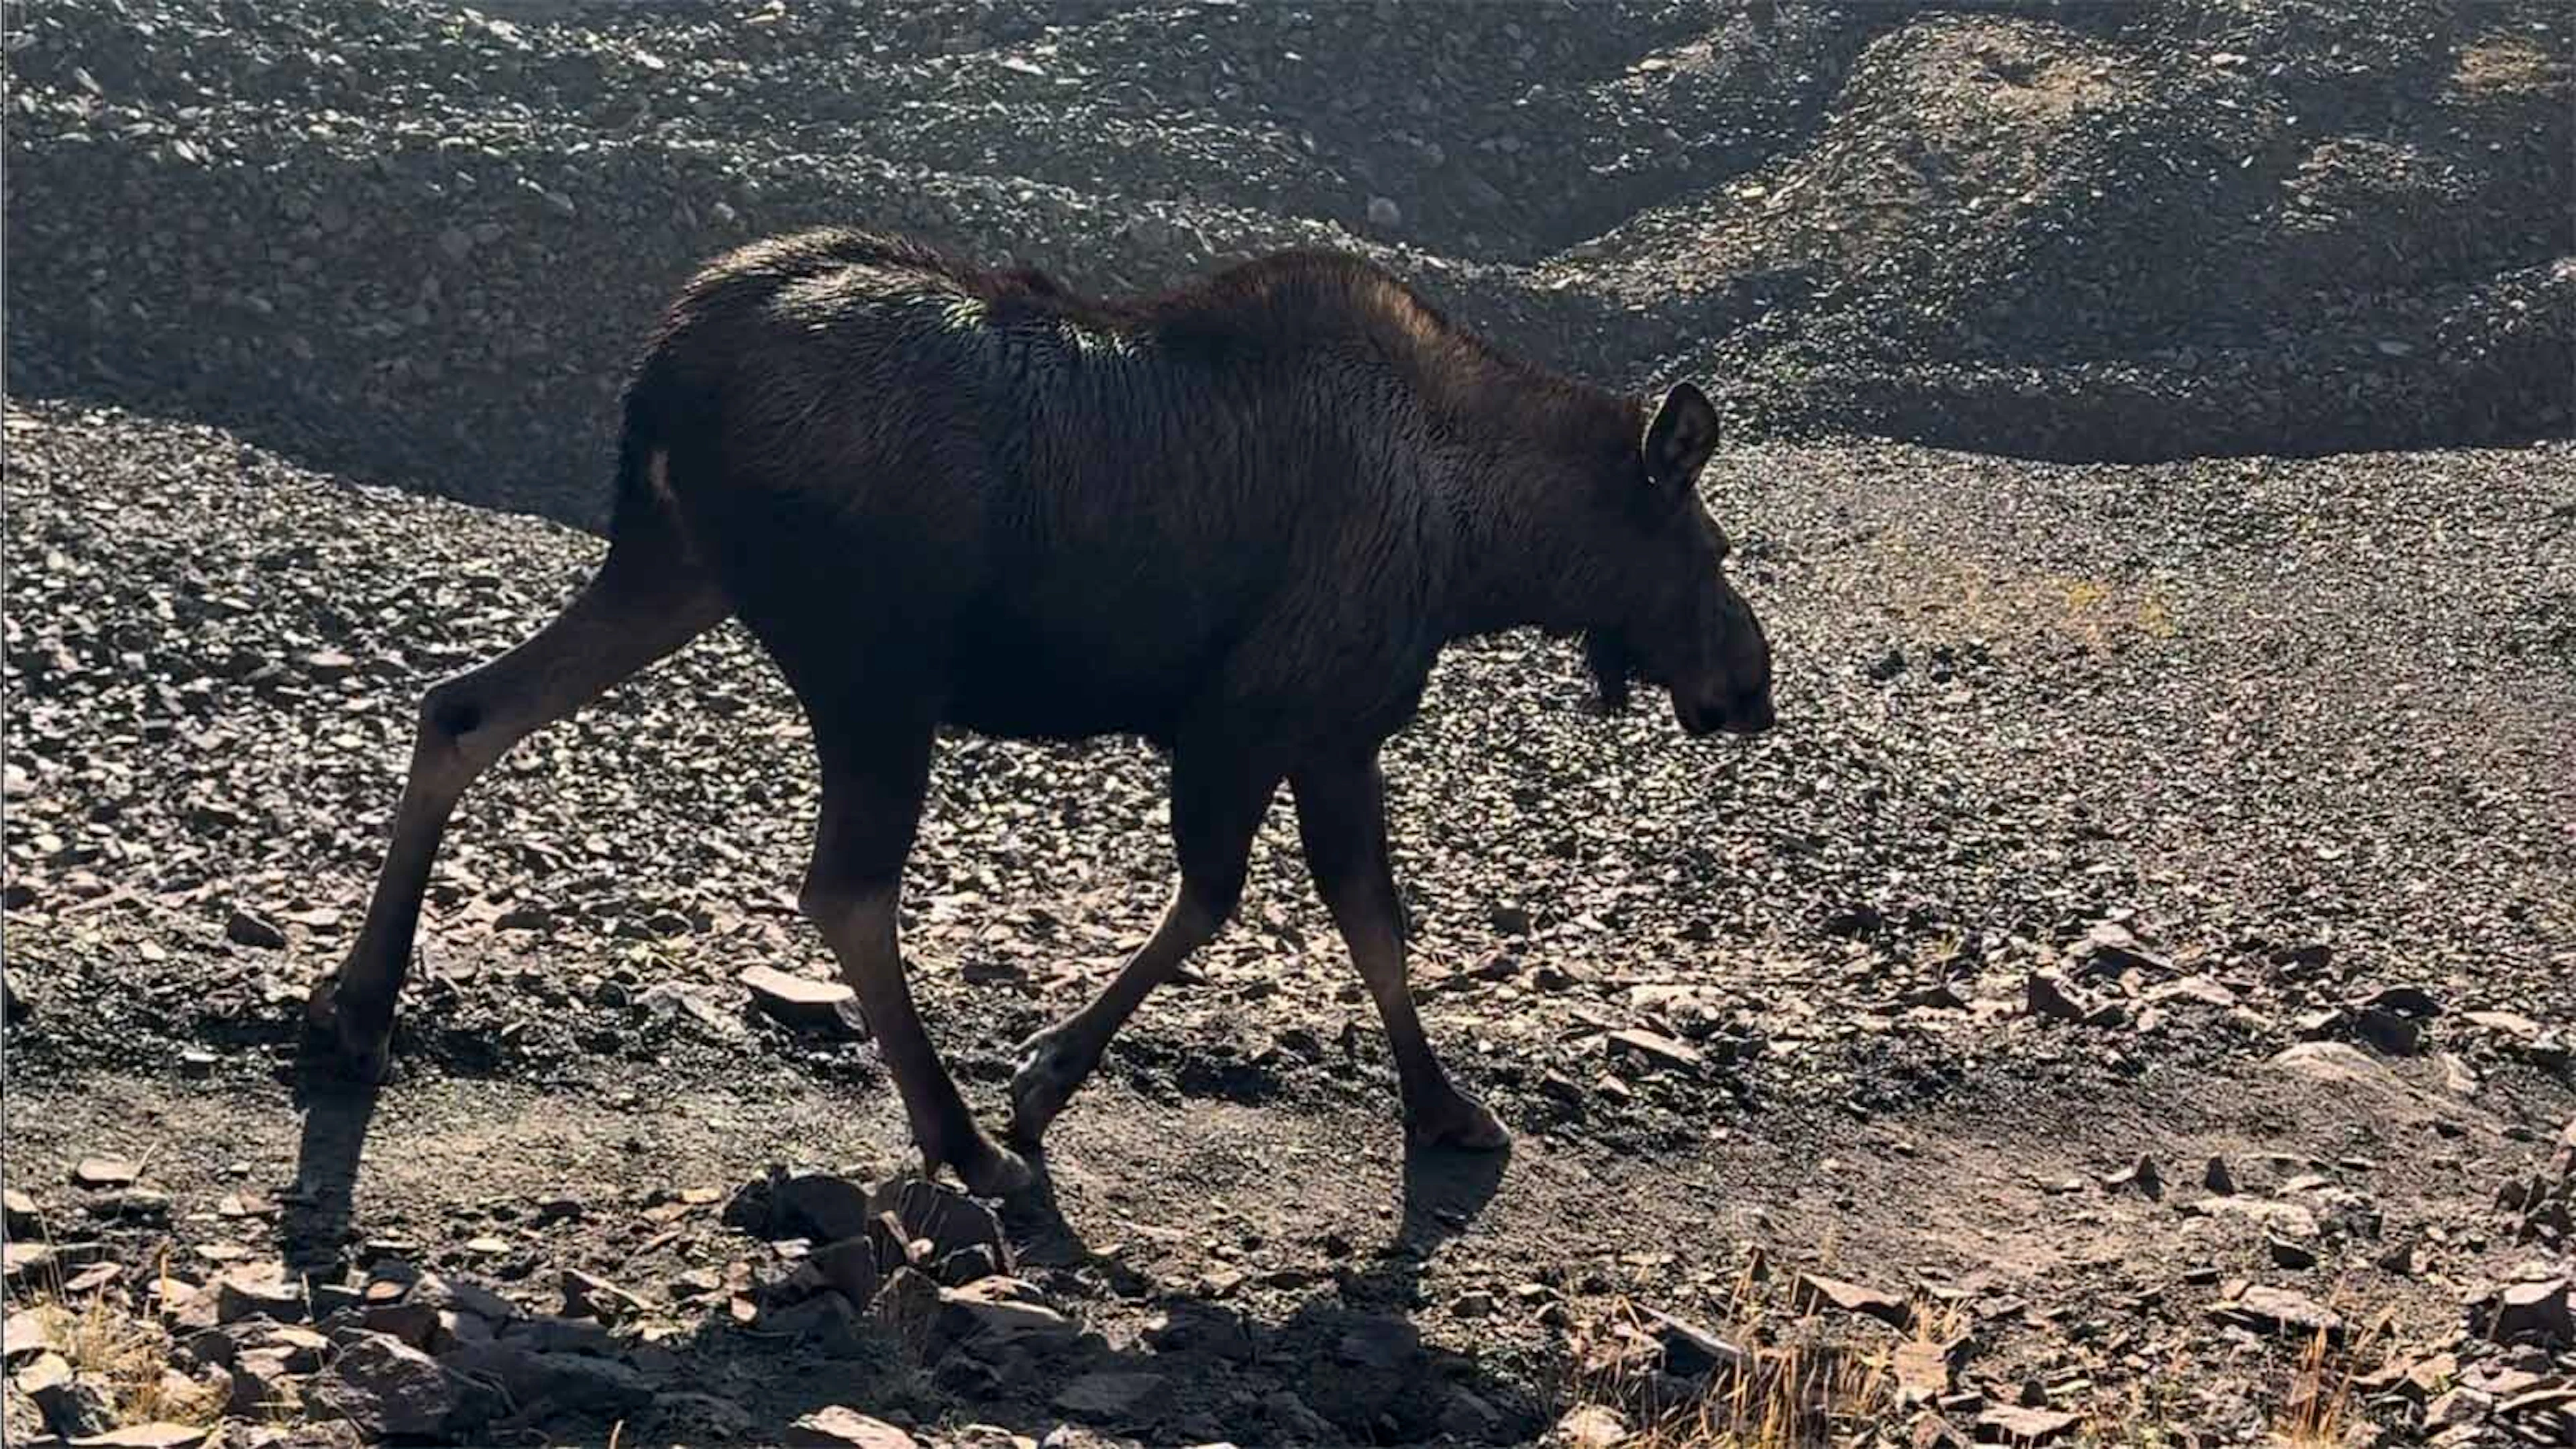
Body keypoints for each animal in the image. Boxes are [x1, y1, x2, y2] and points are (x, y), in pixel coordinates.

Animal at [304, 228, 1776, 1197]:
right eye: (1710, 548)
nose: (1752, 688)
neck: (1491, 553)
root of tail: (661, 370)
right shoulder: (1255, 718)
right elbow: (1227, 907)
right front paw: (1043, 1080)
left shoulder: (1331, 735)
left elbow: (1372, 924)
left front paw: (1444, 1106)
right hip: (873, 666)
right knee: (846, 890)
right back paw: (956, 1140)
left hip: (671, 573)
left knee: (465, 711)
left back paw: (360, 1007)